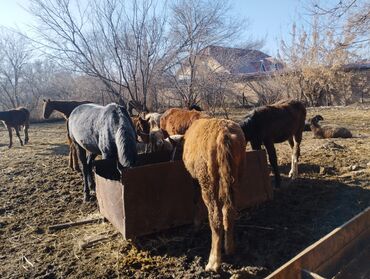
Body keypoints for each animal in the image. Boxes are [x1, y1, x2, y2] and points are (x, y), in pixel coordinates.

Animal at [182, 118, 246, 274]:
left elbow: (195, 201)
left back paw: (213, 262)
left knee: (215, 217)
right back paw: (229, 248)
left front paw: (196, 224)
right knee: (229, 211)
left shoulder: (194, 179)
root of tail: (223, 132)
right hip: (233, 177)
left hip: (208, 181)